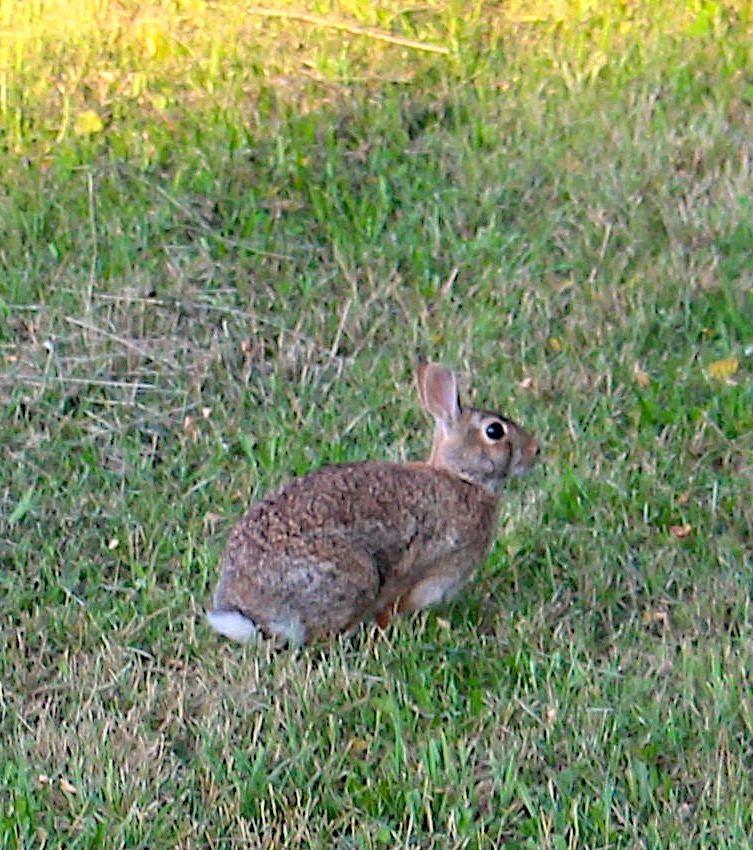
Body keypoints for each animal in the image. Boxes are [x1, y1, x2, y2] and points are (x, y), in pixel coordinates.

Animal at [207, 361, 539, 646]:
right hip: (354, 575)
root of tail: (248, 613)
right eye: (494, 431)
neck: (461, 478)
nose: (536, 449)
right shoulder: (425, 570)